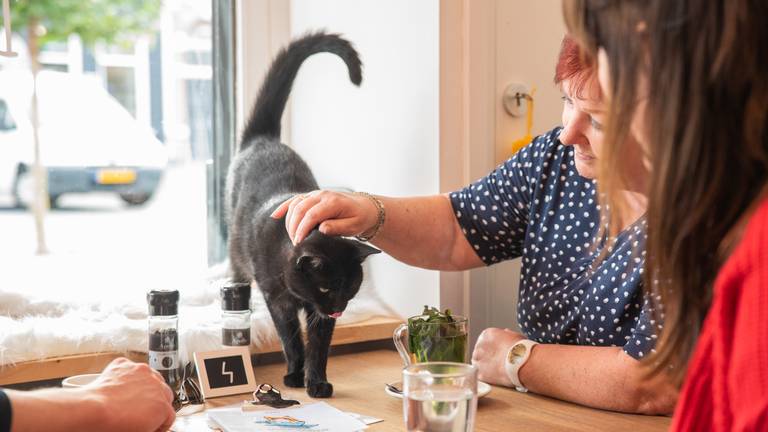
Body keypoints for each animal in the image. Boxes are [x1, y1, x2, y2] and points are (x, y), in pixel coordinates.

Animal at [225, 33, 380, 398]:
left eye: (350, 285)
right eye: (325, 287)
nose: (338, 307)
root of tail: (264, 139)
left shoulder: (318, 315)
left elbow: (318, 346)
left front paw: (317, 382)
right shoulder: (278, 299)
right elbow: (291, 338)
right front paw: (295, 375)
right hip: (237, 256)